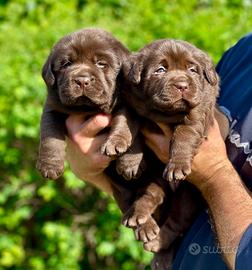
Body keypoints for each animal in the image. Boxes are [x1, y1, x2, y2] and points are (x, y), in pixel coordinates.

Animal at [36, 28, 146, 181]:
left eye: (101, 63)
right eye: (66, 64)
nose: (82, 80)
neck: (88, 108)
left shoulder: (127, 104)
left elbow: (124, 122)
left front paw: (117, 145)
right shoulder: (52, 108)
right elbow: (50, 137)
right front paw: (50, 166)